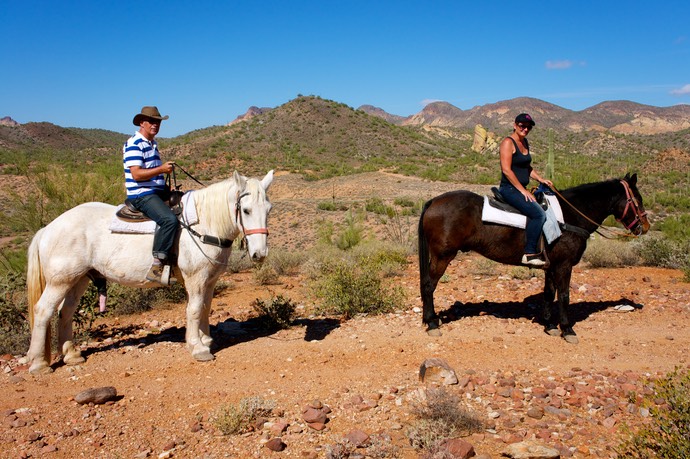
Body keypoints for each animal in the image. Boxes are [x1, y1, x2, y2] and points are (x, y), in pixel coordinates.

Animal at [24, 171, 272, 376]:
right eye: (246, 210)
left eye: (268, 210)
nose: (260, 254)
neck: (204, 223)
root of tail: (48, 228)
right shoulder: (196, 278)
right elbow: (193, 309)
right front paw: (198, 347)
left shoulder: (209, 279)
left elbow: (205, 307)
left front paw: (205, 339)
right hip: (60, 281)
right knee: (43, 310)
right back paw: (39, 364)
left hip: (78, 279)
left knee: (65, 312)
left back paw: (72, 355)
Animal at [416, 174, 648, 344]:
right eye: (638, 200)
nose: (644, 227)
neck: (570, 216)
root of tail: (433, 201)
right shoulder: (564, 265)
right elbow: (564, 296)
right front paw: (567, 329)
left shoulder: (551, 266)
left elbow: (549, 294)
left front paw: (550, 326)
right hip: (443, 256)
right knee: (428, 285)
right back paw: (432, 324)